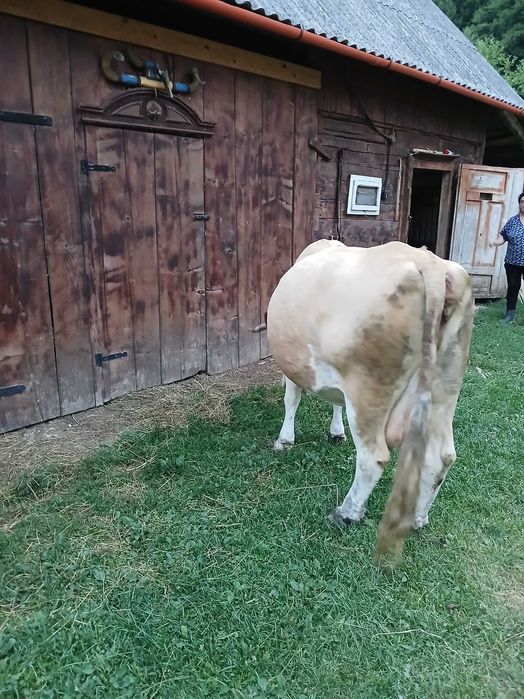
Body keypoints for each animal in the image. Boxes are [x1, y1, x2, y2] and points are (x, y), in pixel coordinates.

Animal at [265, 239, 474, 561]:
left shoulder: (295, 367)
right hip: (445, 389)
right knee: (442, 456)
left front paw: (285, 440)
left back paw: (346, 513)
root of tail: (430, 263)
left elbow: (292, 399)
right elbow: (334, 402)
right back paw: (419, 517)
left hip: (369, 389)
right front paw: (336, 432)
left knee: (372, 457)